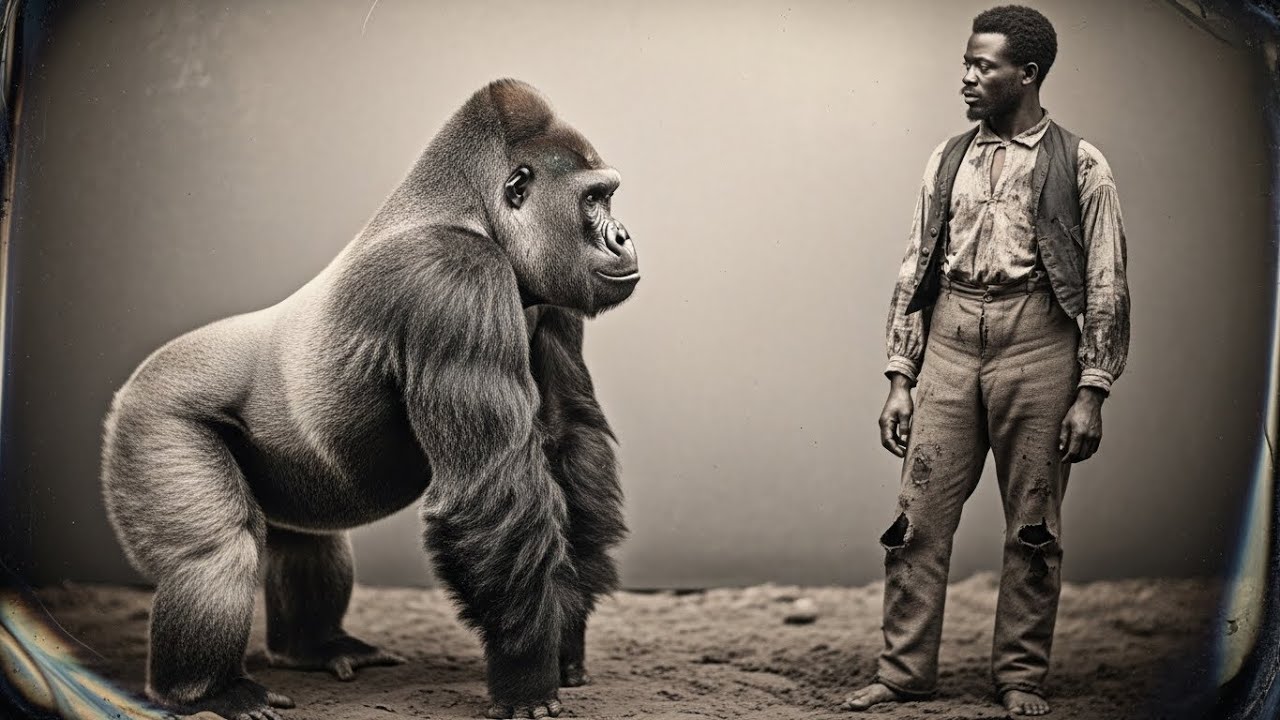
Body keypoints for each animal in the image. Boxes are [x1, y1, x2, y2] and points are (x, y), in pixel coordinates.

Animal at [100, 78, 638, 720]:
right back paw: (206, 691)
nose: (623, 237)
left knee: (308, 541)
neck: (472, 213)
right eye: (593, 198)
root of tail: (131, 386)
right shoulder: (453, 279)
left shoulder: (550, 290)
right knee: (216, 551)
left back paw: (312, 646)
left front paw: (566, 632)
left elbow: (566, 436)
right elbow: (491, 492)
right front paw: (526, 671)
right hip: (153, 411)